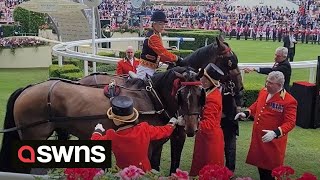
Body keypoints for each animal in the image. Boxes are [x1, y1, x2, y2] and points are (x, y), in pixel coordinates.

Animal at [0, 67, 205, 174]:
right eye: (181, 95)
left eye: (200, 94)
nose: (191, 128)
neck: (152, 98)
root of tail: (27, 89)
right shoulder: (146, 145)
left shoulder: (156, 145)